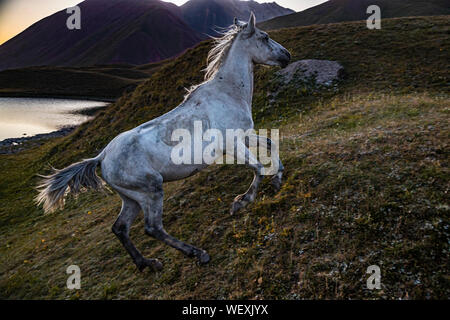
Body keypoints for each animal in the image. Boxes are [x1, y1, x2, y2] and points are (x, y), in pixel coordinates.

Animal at [36, 13, 292, 272]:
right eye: (265, 37)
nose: (287, 56)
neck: (227, 93)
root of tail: (102, 157)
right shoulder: (231, 145)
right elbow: (257, 168)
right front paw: (241, 202)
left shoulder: (245, 136)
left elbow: (270, 143)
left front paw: (278, 180)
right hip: (151, 190)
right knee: (152, 228)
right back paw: (197, 253)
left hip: (131, 198)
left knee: (120, 228)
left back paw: (147, 263)